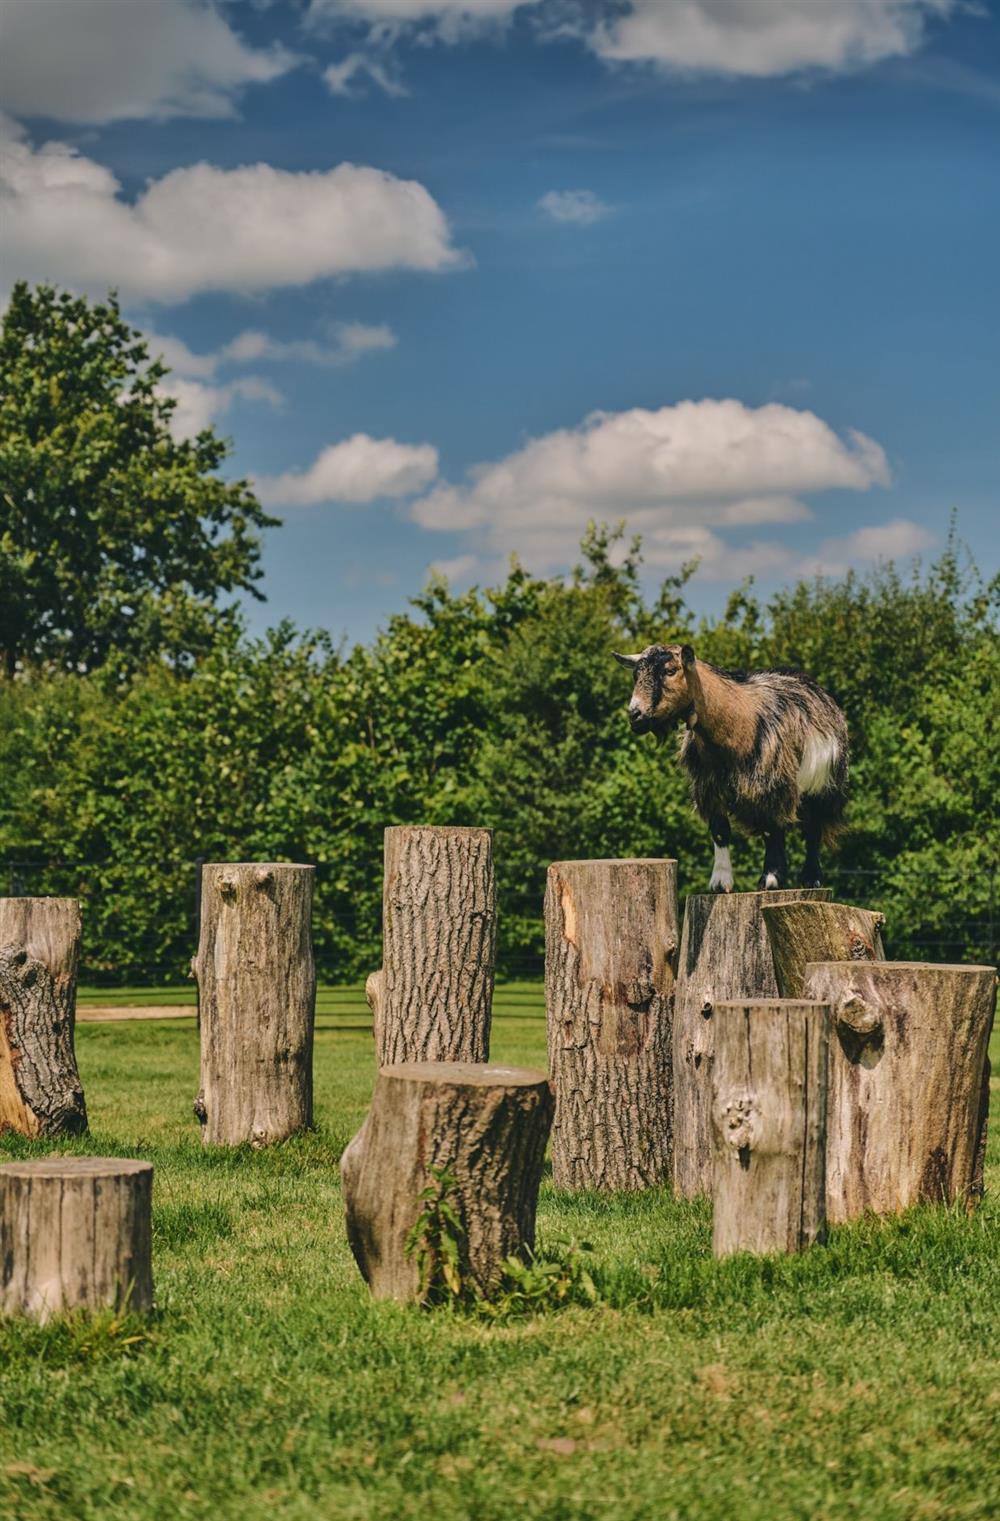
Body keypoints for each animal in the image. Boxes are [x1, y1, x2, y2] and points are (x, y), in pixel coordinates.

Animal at [611, 641, 846, 888]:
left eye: (670, 671)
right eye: (636, 675)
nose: (635, 714)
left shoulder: (770, 783)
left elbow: (772, 830)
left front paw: (770, 878)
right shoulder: (709, 787)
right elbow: (720, 831)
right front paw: (720, 882)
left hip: (823, 784)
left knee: (813, 827)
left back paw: (811, 878)